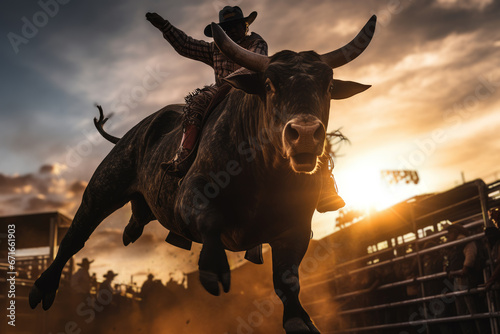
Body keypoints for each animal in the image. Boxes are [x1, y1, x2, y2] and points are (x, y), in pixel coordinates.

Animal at [30, 16, 376, 334]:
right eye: (269, 85)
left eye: (328, 86)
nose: (304, 134)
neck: (265, 174)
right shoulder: (191, 193)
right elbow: (209, 219)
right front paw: (213, 268)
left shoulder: (297, 227)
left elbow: (287, 278)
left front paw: (299, 319)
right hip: (103, 187)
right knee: (76, 235)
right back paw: (42, 288)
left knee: (133, 218)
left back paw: (130, 230)